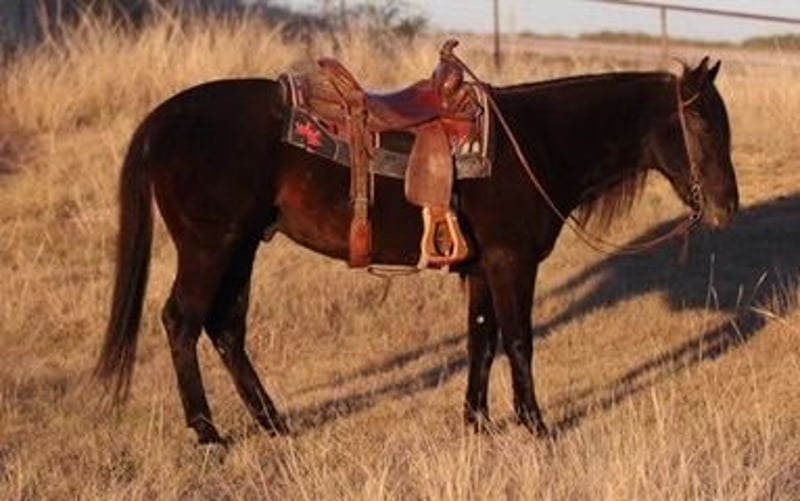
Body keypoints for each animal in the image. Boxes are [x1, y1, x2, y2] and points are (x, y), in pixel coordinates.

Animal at [94, 57, 739, 444]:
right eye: (704, 128)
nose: (727, 208)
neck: (534, 142)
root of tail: (162, 119)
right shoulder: (511, 262)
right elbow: (519, 341)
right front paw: (535, 424)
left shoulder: (480, 268)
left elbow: (481, 341)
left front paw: (477, 422)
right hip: (212, 246)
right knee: (182, 322)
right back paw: (208, 432)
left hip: (243, 247)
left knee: (226, 329)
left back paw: (274, 423)